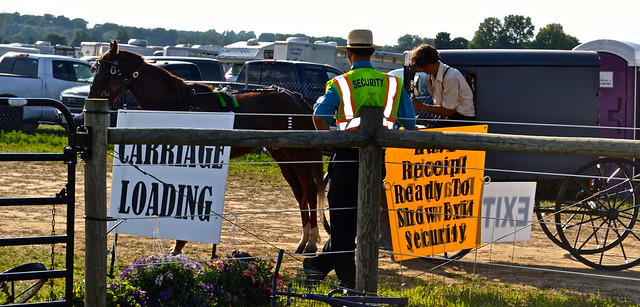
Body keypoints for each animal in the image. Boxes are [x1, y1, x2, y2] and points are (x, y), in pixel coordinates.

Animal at [89, 41, 324, 258]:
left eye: (104, 70)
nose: (91, 97)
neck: (180, 104)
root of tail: (300, 101)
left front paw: (180, 243)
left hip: (299, 154)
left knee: (310, 190)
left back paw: (311, 243)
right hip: (283, 154)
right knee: (300, 192)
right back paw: (303, 241)